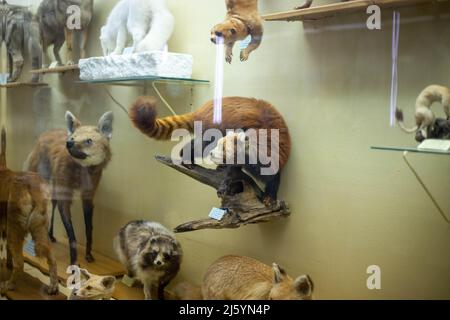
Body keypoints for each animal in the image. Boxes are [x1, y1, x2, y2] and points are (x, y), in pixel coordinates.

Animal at [0, 127, 59, 296]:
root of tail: (33, 188)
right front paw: (7, 263)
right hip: (41, 230)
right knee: (52, 257)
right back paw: (53, 287)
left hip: (15, 229)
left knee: (20, 264)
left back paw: (9, 285)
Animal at [128, 95, 294, 205]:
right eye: (220, 146)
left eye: (223, 148)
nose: (214, 154)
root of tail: (205, 107)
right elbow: (232, 172)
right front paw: (226, 184)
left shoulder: (278, 155)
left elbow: (274, 177)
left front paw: (270, 196)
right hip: (213, 128)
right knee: (200, 145)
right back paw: (186, 158)